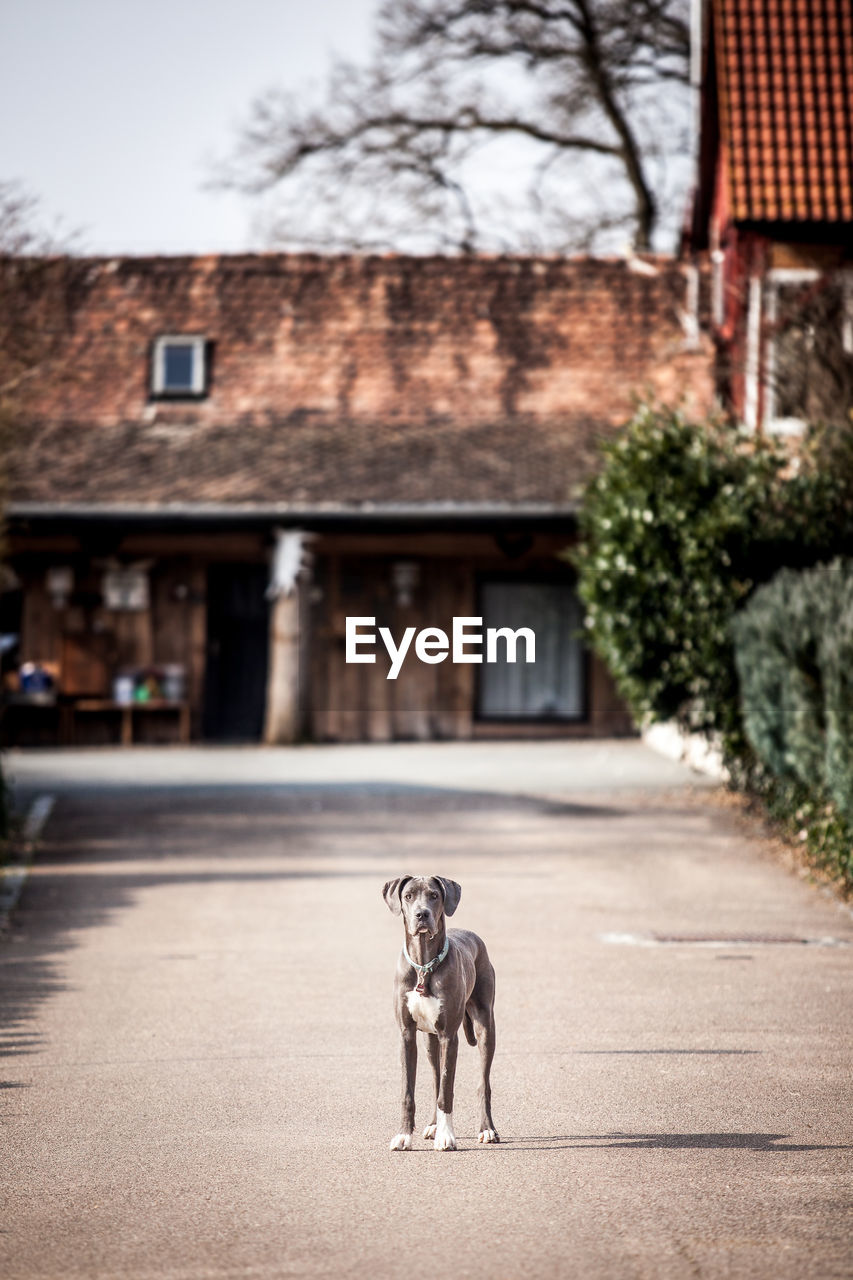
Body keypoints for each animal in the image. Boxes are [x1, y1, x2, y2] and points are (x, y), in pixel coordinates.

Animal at [379, 875, 494, 1157]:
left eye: (434, 895)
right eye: (408, 896)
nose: (422, 914)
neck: (423, 964)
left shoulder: (448, 1036)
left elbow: (447, 1091)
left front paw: (446, 1136)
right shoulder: (407, 1036)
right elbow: (409, 1092)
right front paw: (403, 1136)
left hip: (485, 1026)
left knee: (482, 1083)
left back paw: (487, 1129)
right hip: (429, 1041)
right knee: (433, 1080)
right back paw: (432, 1125)